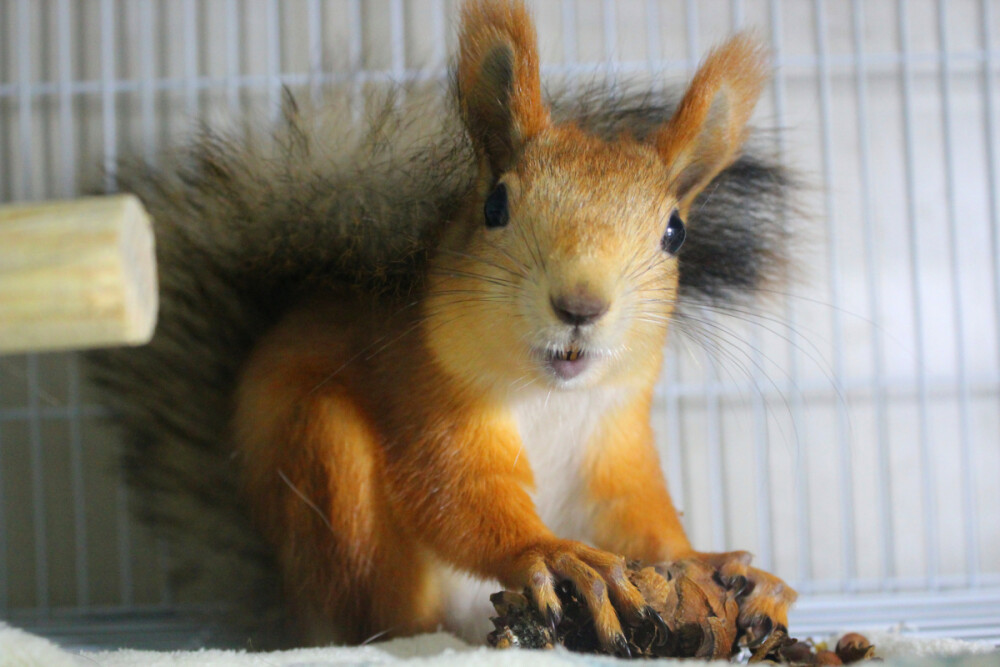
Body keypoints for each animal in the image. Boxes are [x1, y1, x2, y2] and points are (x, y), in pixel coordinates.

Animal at [90, 0, 800, 656]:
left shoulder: (615, 440)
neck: (550, 398)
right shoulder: (427, 391)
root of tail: (291, 608)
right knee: (378, 614)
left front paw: (718, 564)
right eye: (495, 205)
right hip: (327, 464)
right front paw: (555, 553)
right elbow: (454, 495)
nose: (580, 304)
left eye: (674, 233)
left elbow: (640, 522)